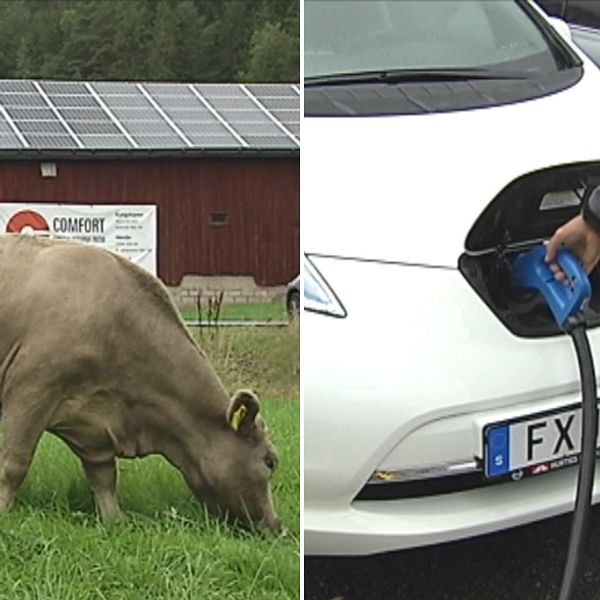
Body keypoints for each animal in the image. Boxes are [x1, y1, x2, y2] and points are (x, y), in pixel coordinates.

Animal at [0, 234, 280, 528]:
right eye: (270, 462)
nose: (278, 526)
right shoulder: (32, 390)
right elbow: (15, 464)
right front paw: (3, 513)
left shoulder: (94, 428)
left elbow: (104, 478)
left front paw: (115, 521)